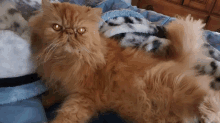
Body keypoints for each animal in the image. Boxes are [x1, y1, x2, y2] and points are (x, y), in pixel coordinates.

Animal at [28, 0, 220, 122]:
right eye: (57, 27)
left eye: (81, 30)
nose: (68, 32)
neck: (66, 60)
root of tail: (176, 60)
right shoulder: (62, 86)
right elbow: (50, 96)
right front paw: (43, 102)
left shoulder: (83, 97)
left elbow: (66, 115)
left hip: (171, 83)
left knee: (209, 95)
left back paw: (209, 112)